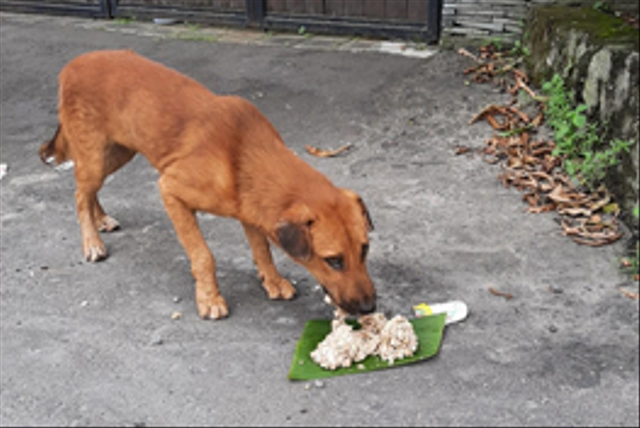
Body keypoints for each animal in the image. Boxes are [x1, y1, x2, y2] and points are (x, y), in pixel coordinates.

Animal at [40, 49, 378, 318]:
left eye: (365, 250)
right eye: (333, 261)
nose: (369, 308)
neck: (244, 153)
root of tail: (73, 63)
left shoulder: (250, 210)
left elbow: (262, 250)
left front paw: (272, 281)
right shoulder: (170, 190)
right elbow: (203, 256)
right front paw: (209, 299)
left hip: (118, 152)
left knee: (88, 190)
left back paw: (101, 219)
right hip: (96, 157)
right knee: (79, 194)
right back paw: (92, 242)